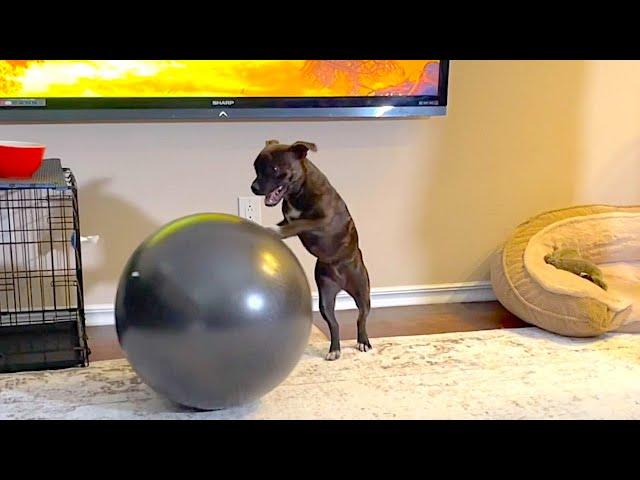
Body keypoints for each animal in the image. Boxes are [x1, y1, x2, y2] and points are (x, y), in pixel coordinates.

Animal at [250, 139, 370, 360]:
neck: (298, 192)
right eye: (255, 168)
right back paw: (334, 349)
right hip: (325, 299)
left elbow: (298, 224)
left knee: (361, 318)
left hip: (362, 292)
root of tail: (342, 282)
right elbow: (290, 222)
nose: (253, 187)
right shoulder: (289, 217)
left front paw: (274, 230)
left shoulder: (322, 222)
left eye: (275, 169)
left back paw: (363, 341)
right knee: (334, 324)